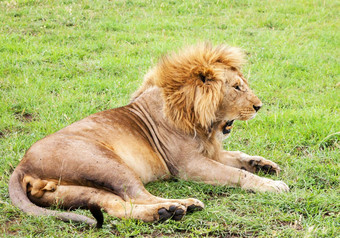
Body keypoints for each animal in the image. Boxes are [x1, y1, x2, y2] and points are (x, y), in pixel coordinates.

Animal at [9, 42, 288, 227]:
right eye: (237, 87)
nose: (259, 106)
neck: (198, 120)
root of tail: (22, 166)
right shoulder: (187, 165)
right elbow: (236, 174)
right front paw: (272, 185)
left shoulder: (209, 150)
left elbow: (238, 156)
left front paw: (264, 165)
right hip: (107, 163)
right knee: (138, 195)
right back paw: (180, 206)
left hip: (74, 192)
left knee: (117, 205)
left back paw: (166, 212)